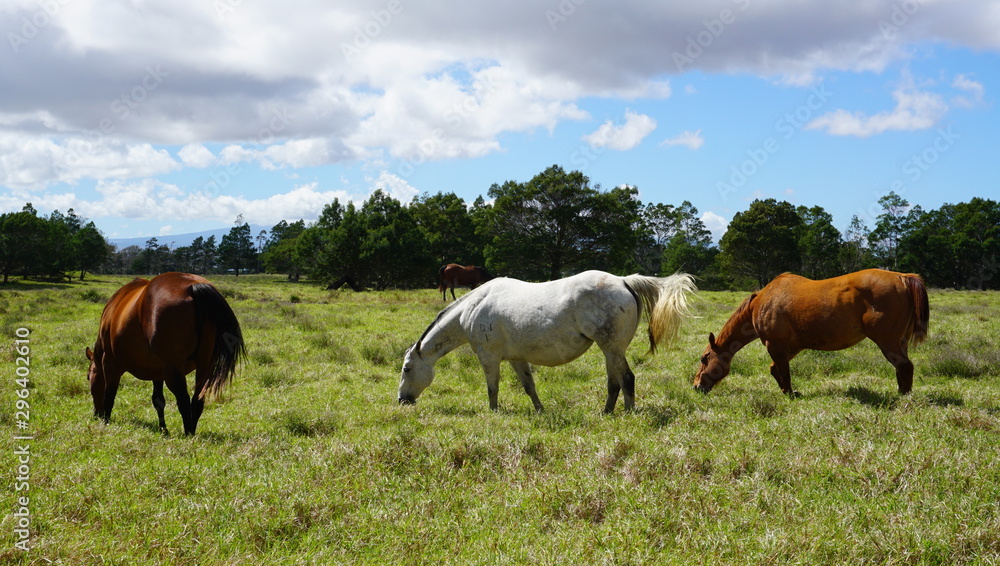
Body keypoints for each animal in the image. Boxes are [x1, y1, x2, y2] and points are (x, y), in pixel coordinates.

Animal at [88, 272, 248, 438]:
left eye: (89, 377)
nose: (96, 414)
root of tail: (191, 286)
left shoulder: (110, 363)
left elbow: (109, 395)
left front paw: (106, 421)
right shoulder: (157, 371)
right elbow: (158, 400)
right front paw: (163, 428)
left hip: (174, 369)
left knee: (183, 400)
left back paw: (188, 433)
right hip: (204, 365)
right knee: (197, 400)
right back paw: (191, 431)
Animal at [398, 270, 696, 412]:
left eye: (407, 369)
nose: (402, 399)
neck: (471, 309)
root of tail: (624, 281)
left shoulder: (488, 357)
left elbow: (492, 388)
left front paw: (493, 412)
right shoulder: (516, 358)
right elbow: (529, 386)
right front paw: (540, 410)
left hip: (612, 349)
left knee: (626, 379)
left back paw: (628, 412)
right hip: (610, 351)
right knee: (614, 383)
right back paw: (606, 412)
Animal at [696, 272, 928, 398]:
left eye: (704, 358)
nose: (696, 386)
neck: (762, 302)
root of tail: (902, 277)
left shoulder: (774, 345)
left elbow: (784, 372)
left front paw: (790, 394)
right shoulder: (791, 347)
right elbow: (775, 370)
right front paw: (786, 391)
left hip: (887, 342)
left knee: (905, 367)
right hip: (899, 342)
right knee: (901, 368)